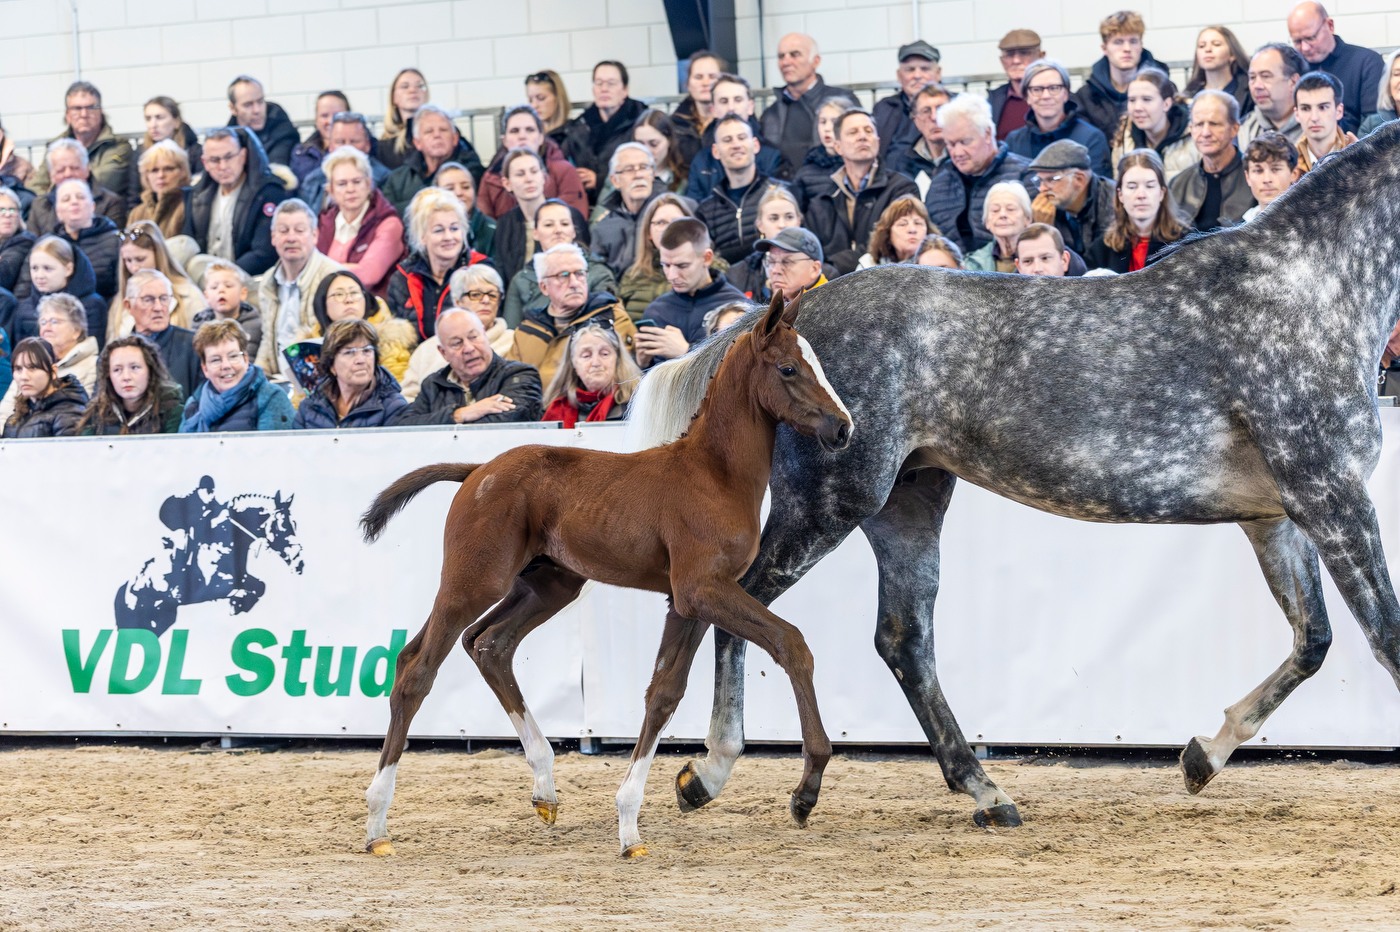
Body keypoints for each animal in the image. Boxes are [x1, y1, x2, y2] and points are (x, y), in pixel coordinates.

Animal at [115, 485, 304, 636]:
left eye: (295, 523)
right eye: (281, 525)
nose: (299, 562)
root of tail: (123, 590)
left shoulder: (242, 577)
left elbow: (260, 586)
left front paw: (238, 605)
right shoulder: (212, 585)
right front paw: (237, 603)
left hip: (161, 619)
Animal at [358, 294, 853, 858]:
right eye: (789, 368)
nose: (843, 428)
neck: (713, 475)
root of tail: (477, 470)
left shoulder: (687, 602)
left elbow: (664, 692)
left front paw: (630, 823)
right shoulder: (703, 590)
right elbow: (792, 644)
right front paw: (806, 790)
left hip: (548, 585)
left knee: (487, 645)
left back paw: (545, 788)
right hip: (473, 583)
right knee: (417, 668)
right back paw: (376, 822)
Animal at [639, 122, 1400, 831]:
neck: (1303, 293)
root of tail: (774, 327)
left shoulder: (1278, 514)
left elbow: (1315, 641)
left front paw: (1200, 758)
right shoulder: (1330, 495)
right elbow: (1383, 638)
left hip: (906, 503)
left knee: (901, 641)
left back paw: (983, 790)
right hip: (830, 502)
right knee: (742, 601)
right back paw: (712, 772)